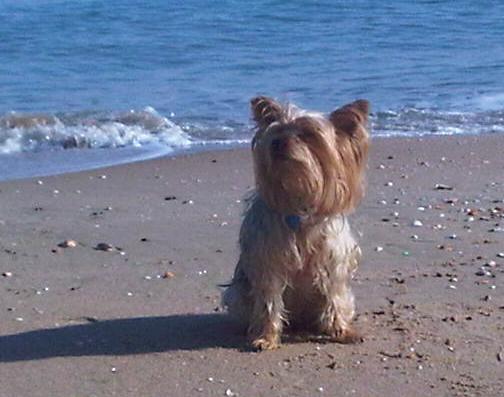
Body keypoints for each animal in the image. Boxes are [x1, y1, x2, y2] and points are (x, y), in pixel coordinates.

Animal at [222, 96, 368, 350]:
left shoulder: (333, 261)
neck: (297, 197)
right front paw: (265, 337)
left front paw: (342, 331)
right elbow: (269, 302)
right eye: (276, 131)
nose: (278, 143)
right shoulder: (268, 263)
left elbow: (334, 295)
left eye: (308, 134)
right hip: (238, 294)